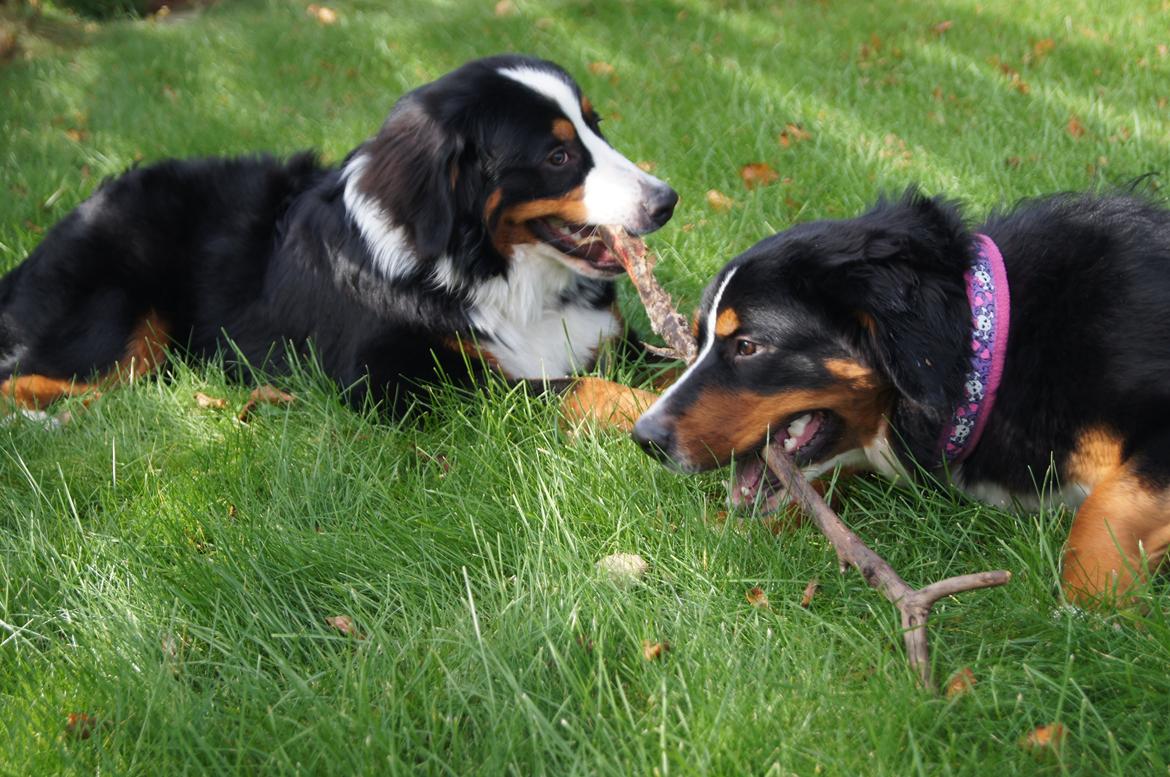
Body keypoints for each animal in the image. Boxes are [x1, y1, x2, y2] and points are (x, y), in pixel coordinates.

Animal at [0, 53, 678, 418]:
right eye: (558, 157)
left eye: (596, 127)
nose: (666, 201)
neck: (498, 278)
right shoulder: (405, 381)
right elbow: (578, 388)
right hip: (115, 331)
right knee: (26, 379)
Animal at [636, 184, 1170, 603]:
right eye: (699, 338)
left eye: (747, 346)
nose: (644, 438)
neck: (993, 353)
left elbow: (1106, 511)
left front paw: (1096, 614)